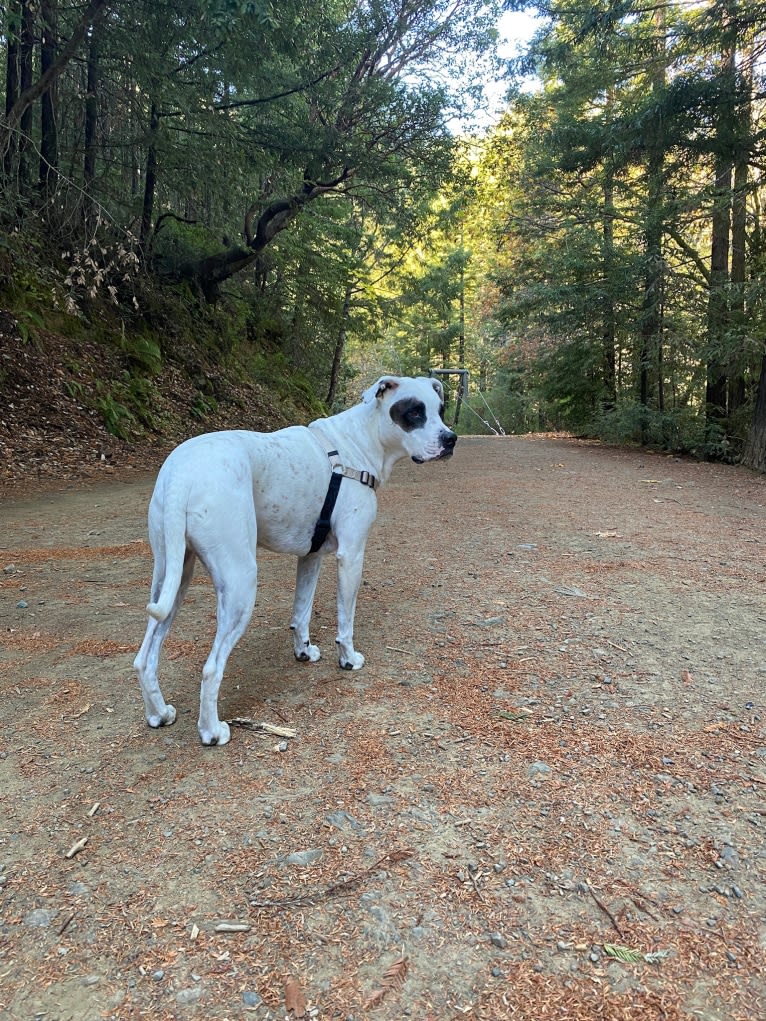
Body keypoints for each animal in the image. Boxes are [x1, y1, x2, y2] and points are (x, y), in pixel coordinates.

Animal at [133, 379, 455, 747]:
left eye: (440, 409)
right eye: (414, 412)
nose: (451, 439)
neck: (360, 441)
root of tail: (182, 474)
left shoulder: (310, 556)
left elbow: (301, 613)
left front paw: (304, 652)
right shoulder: (352, 555)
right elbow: (345, 621)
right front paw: (348, 660)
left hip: (171, 581)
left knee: (144, 659)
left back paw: (159, 714)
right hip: (240, 584)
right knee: (211, 668)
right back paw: (212, 732)